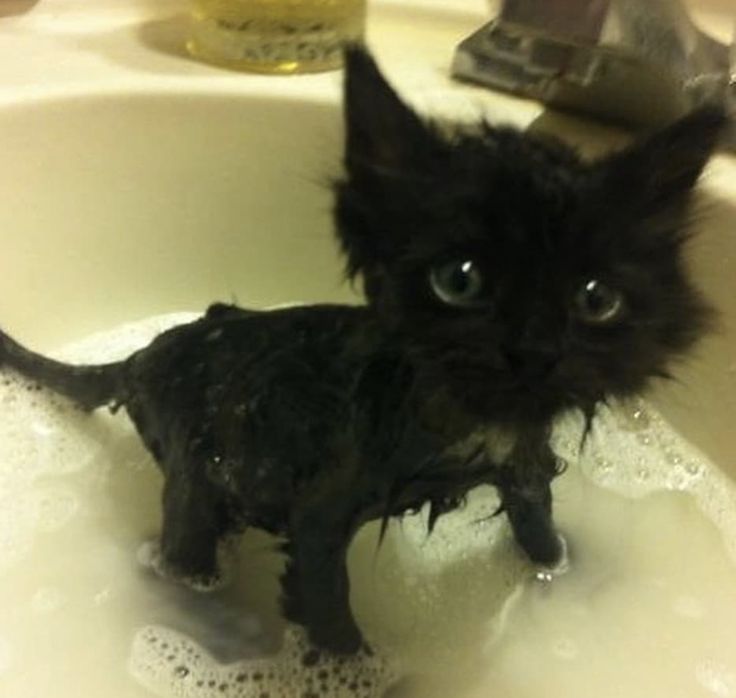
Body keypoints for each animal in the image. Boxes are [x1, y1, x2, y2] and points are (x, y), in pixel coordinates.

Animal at [0, 49, 724, 652]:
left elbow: (544, 540)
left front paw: (574, 576)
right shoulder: (319, 522)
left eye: (596, 298)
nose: (533, 350)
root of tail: (146, 355)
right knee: (179, 554)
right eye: (458, 279)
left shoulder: (522, 468)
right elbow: (335, 627)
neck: (457, 422)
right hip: (196, 481)